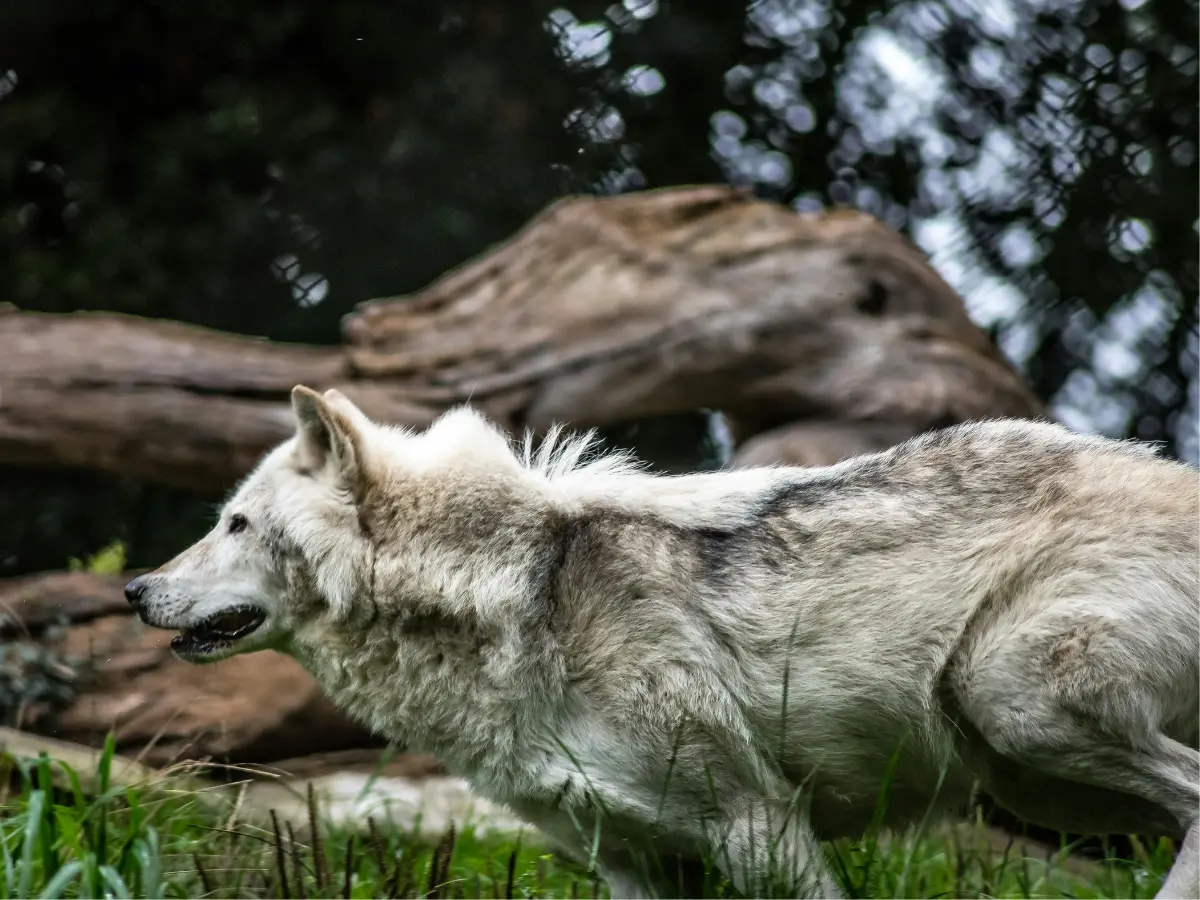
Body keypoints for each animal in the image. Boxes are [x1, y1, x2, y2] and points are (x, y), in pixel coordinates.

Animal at [126, 385, 1199, 899]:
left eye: (235, 524)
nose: (135, 589)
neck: (508, 593)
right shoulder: (631, 863)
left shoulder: (761, 826)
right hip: (1035, 782)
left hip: (1014, 709)